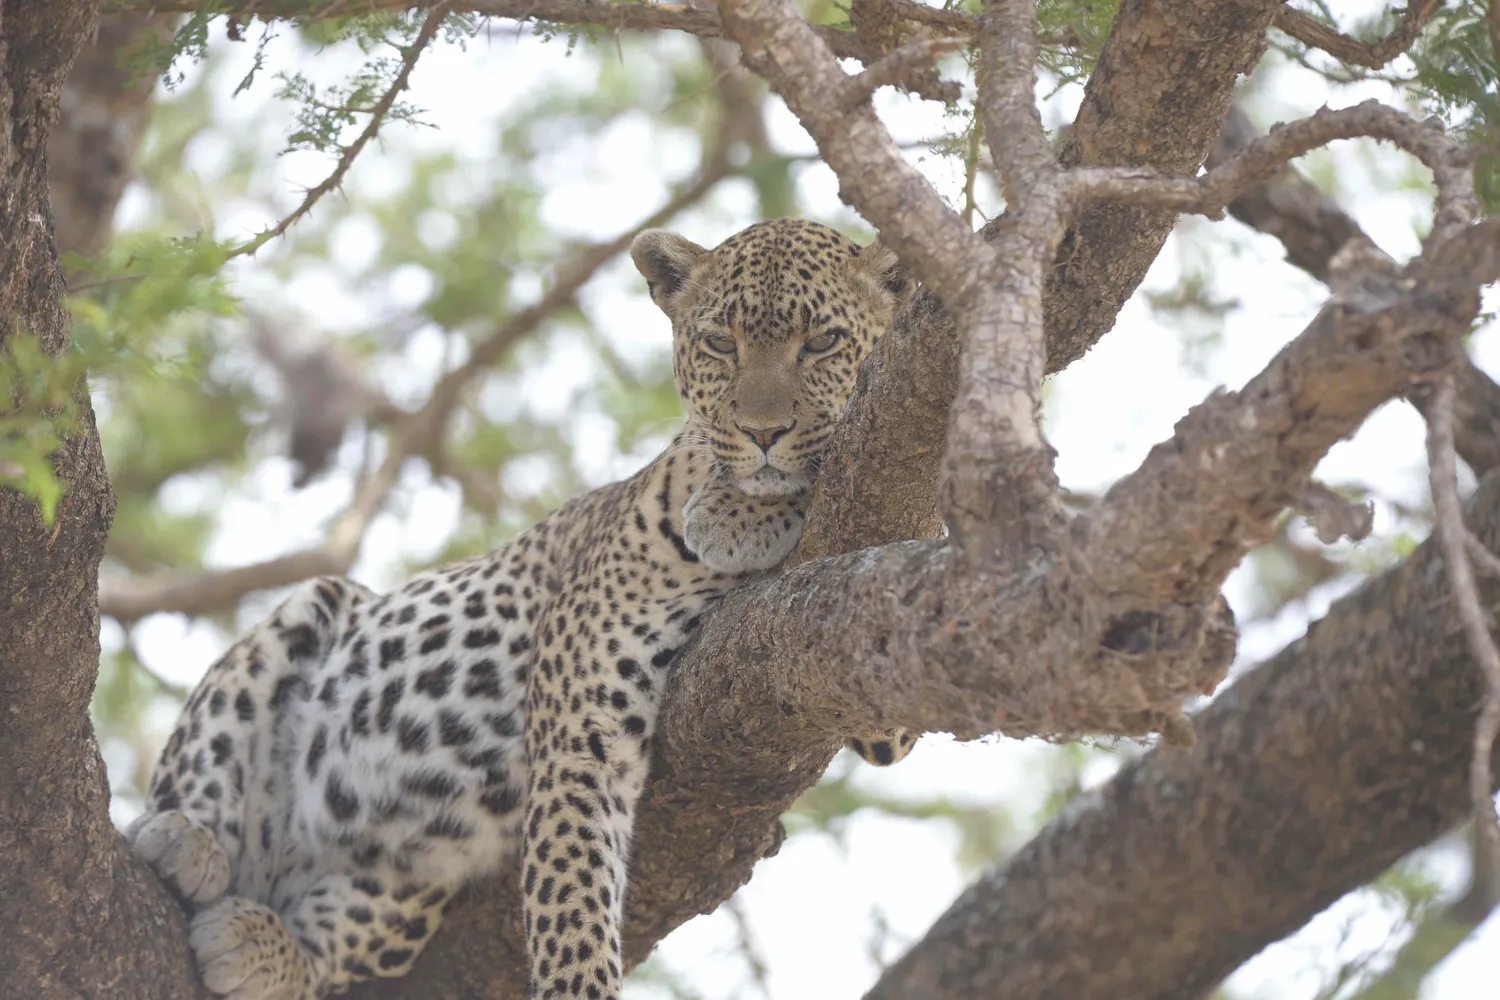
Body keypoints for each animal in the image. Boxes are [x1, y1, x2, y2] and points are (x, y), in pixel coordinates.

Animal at [125, 218, 920, 1000]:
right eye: (721, 345)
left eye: (823, 343)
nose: (762, 435)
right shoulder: (580, 708)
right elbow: (571, 901)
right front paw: (733, 506)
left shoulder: (877, 691)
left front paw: (742, 508)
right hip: (317, 608)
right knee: (200, 766)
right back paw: (187, 842)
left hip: (408, 880)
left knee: (339, 942)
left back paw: (264, 948)